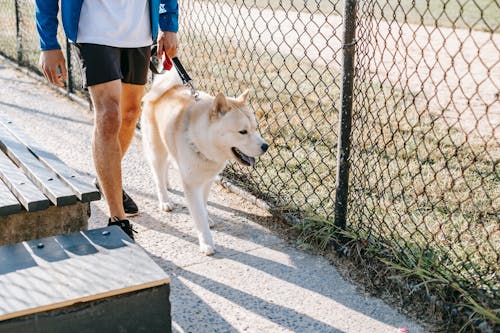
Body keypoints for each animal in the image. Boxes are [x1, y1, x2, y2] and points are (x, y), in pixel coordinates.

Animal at [141, 70, 270, 254]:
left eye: (255, 128)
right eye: (243, 132)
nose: (266, 146)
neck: (200, 142)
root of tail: (165, 90)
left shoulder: (208, 180)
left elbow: (203, 204)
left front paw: (207, 218)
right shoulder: (191, 184)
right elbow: (199, 215)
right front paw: (206, 242)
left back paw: (167, 184)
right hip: (156, 151)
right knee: (158, 175)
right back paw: (164, 200)